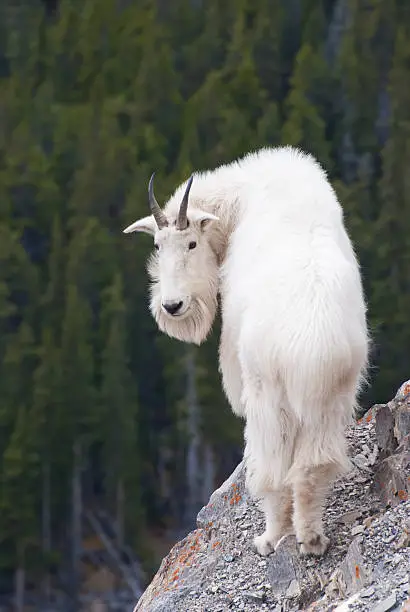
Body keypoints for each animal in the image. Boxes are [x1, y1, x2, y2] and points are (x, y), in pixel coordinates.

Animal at [123, 147, 370, 556]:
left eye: (191, 243)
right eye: (158, 245)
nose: (173, 306)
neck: (240, 198)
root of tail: (311, 350)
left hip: (267, 392)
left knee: (272, 467)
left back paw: (270, 537)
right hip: (334, 396)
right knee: (313, 465)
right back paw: (311, 538)